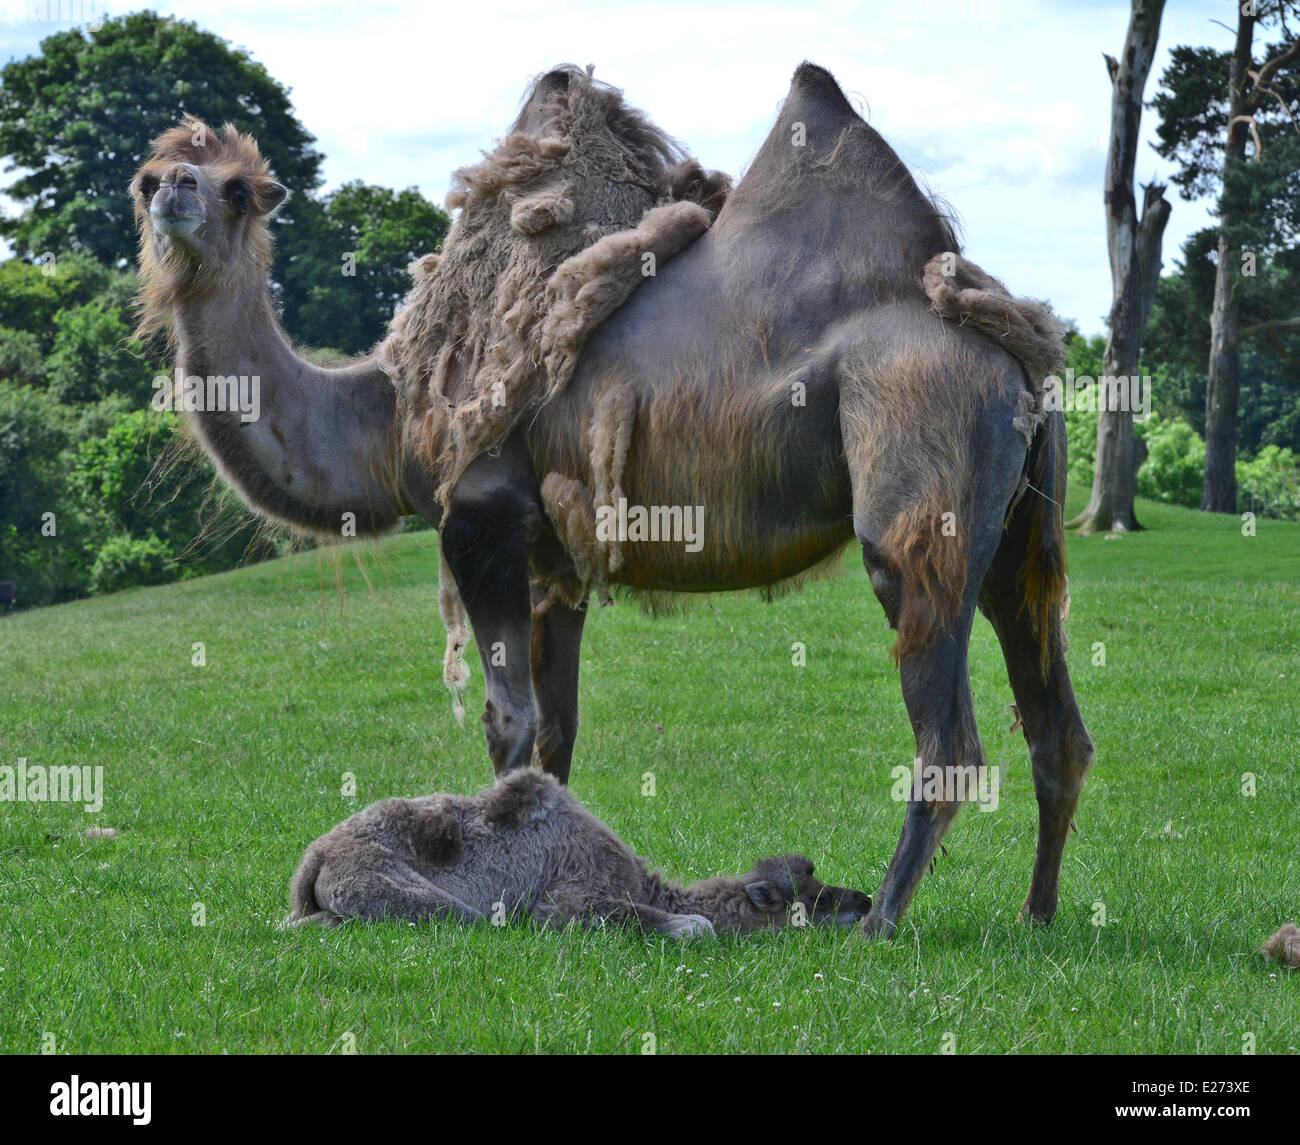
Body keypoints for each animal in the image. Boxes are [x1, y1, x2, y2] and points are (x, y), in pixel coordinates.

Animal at [287, 769, 873, 935]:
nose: (864, 902)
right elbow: (699, 928)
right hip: (419, 898)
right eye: (809, 900)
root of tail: (315, 858)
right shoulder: (570, 901)